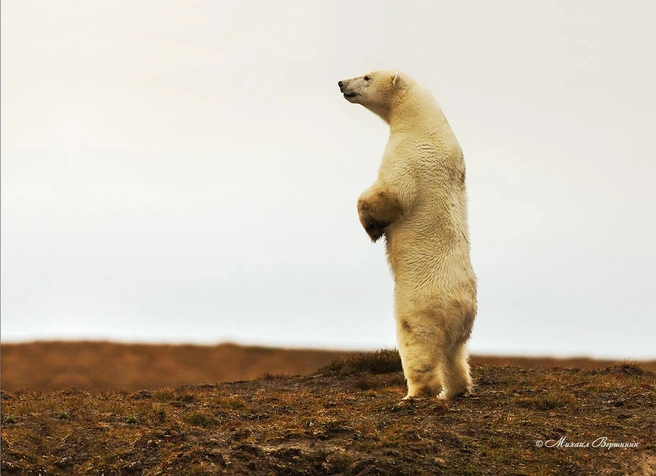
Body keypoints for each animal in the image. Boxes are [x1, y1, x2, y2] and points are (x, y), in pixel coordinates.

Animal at [338, 69, 476, 398]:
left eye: (366, 76)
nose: (341, 84)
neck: (421, 119)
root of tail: (463, 309)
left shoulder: (410, 152)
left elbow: (391, 191)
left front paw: (371, 226)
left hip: (421, 305)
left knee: (418, 344)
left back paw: (415, 393)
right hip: (460, 324)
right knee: (455, 353)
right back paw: (456, 390)